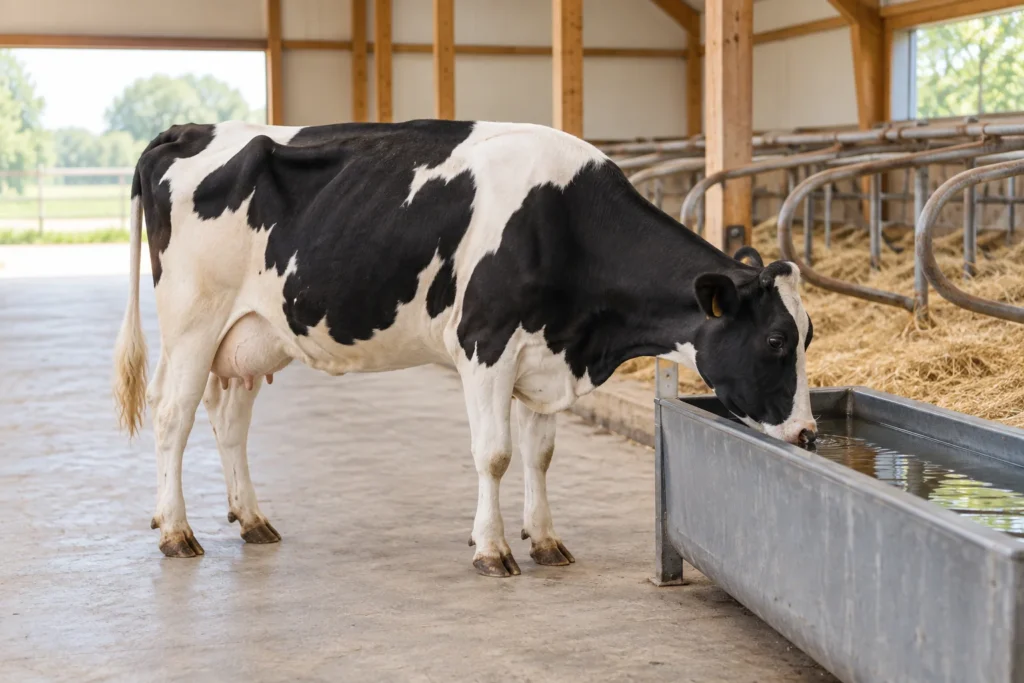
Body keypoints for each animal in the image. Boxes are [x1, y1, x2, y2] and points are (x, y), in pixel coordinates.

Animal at [113, 119, 816, 577]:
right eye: (777, 339)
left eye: (810, 335)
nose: (810, 434)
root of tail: (186, 129)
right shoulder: (486, 344)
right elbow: (495, 454)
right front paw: (493, 549)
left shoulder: (548, 352)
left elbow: (540, 455)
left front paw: (545, 540)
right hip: (193, 321)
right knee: (172, 417)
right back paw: (175, 531)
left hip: (249, 335)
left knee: (228, 423)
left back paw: (251, 519)